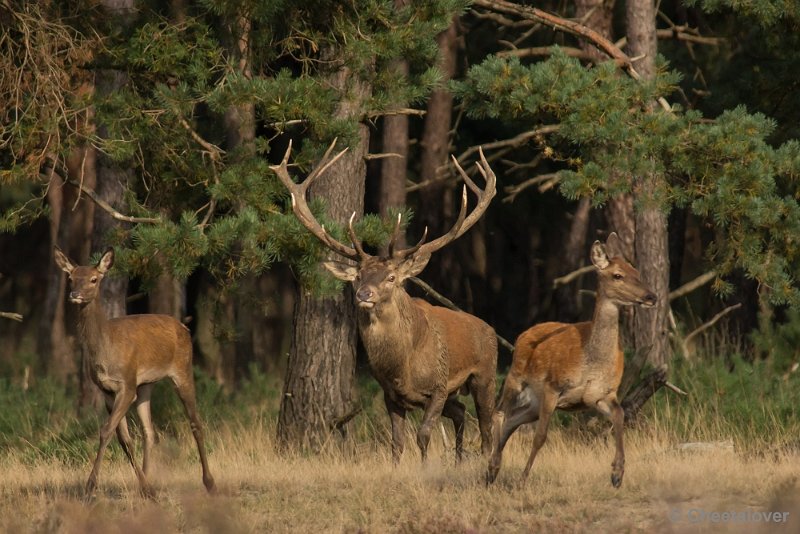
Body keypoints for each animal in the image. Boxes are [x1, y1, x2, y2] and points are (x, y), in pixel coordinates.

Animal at [53, 247, 217, 498]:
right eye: (71, 278)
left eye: (94, 279)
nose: (75, 294)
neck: (105, 351)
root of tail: (185, 327)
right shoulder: (107, 391)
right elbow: (124, 439)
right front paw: (145, 488)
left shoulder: (127, 384)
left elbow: (106, 430)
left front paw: (90, 487)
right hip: (146, 385)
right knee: (150, 432)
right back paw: (147, 483)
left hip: (182, 368)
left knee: (196, 423)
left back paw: (209, 482)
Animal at [276, 142, 500, 464]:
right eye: (358, 276)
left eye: (392, 277)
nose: (364, 294)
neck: (401, 369)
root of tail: (489, 329)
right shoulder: (390, 395)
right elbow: (397, 442)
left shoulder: (439, 386)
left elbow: (423, 436)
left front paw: (425, 468)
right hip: (458, 393)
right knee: (460, 413)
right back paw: (459, 459)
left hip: (485, 375)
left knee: (487, 425)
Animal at [488, 234, 656, 490]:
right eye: (617, 275)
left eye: (636, 271)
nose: (651, 297)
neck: (591, 362)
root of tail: (524, 333)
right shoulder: (553, 386)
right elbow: (540, 436)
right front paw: (522, 480)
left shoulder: (602, 394)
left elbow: (620, 416)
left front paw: (617, 474)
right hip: (516, 377)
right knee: (498, 413)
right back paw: (492, 466)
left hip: (534, 402)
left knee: (512, 420)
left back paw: (493, 467)